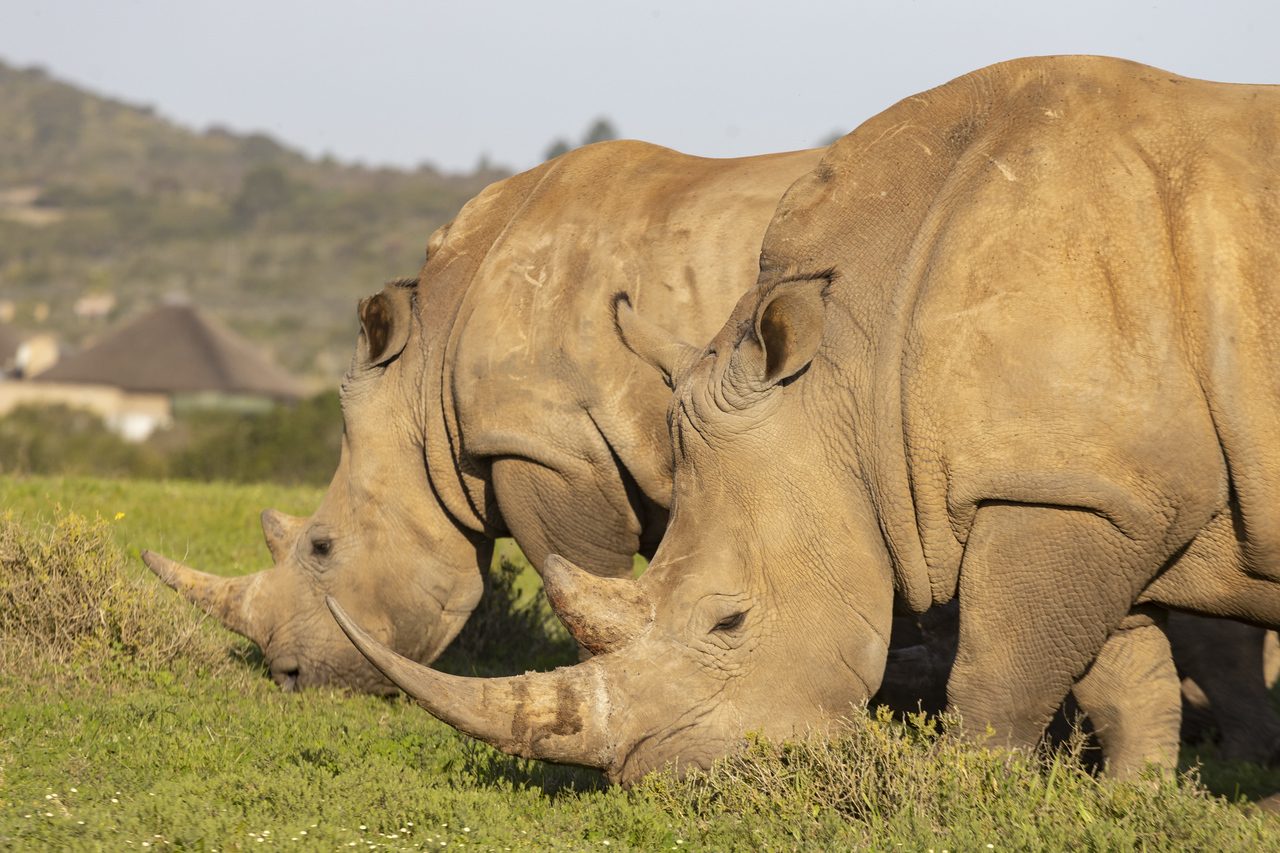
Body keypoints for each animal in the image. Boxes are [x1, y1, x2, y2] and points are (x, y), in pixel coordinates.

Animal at [329, 56, 1280, 782]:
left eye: (730, 621)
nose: (661, 778)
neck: (851, 376)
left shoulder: (1071, 485)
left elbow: (1002, 670)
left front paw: (976, 791)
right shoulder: (1095, 484)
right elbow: (1122, 671)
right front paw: (1133, 798)